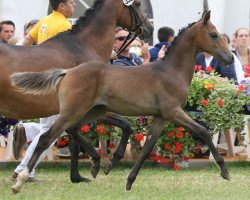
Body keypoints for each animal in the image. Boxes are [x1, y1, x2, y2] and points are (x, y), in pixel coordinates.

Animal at [10, 9, 233, 192]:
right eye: (213, 34)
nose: (230, 58)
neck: (170, 72)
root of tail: (68, 71)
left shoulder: (161, 117)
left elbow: (147, 148)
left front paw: (129, 181)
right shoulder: (174, 112)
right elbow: (203, 131)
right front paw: (224, 171)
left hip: (94, 111)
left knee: (71, 130)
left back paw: (97, 164)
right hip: (73, 111)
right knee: (46, 138)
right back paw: (20, 181)